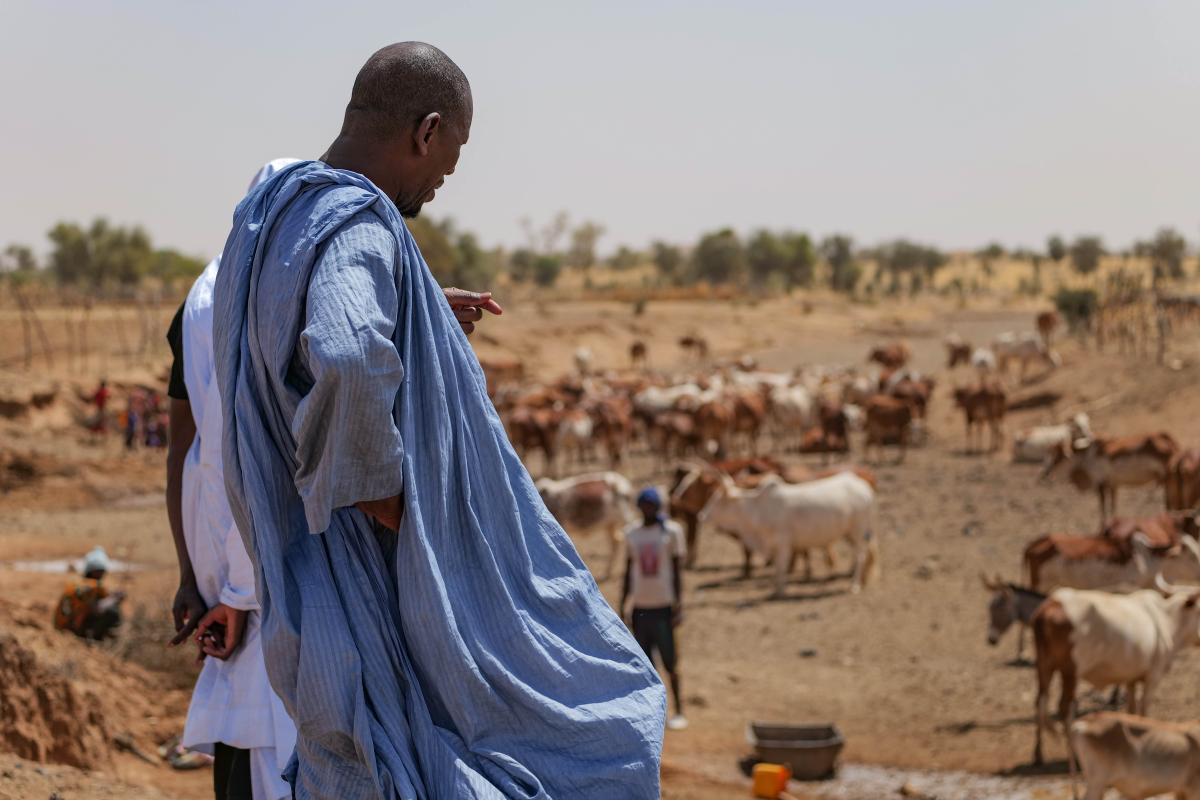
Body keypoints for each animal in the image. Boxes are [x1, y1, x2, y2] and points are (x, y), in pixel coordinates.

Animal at [700, 472, 878, 597]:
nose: (702, 516)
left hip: (858, 530)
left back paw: (854, 585)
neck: (758, 508)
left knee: (861, 555)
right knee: (867, 553)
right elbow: (777, 568)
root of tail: (864, 487)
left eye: (718, 500)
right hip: (852, 534)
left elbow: (780, 567)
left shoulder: (783, 543)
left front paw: (779, 592)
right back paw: (863, 580)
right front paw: (776, 589)